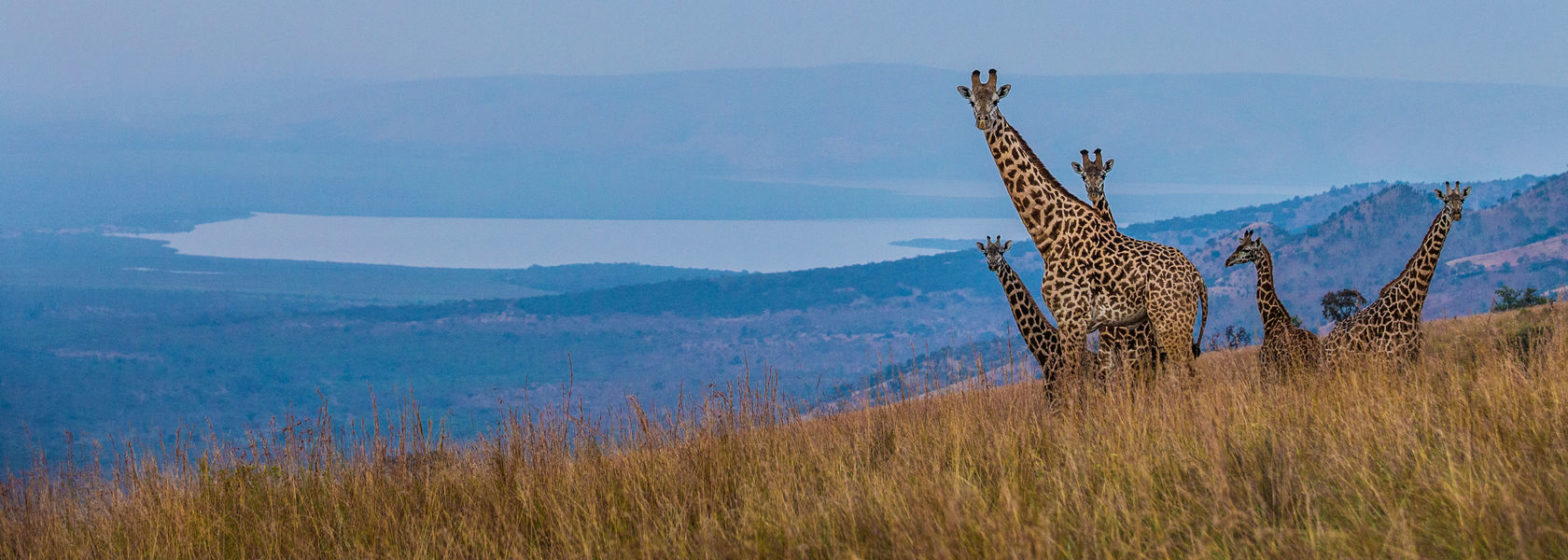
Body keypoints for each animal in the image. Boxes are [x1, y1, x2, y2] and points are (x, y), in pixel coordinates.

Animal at [1223, 227, 1323, 374]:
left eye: (1246, 250)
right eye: (1238, 247)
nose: (1228, 261)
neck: (1271, 319)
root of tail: (1316, 350)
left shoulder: (1266, 367)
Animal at [1323, 181, 1467, 363]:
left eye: (1462, 199)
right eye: (1446, 201)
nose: (1456, 213)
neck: (1412, 305)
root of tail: (1326, 343)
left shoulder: (1412, 357)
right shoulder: (1389, 356)